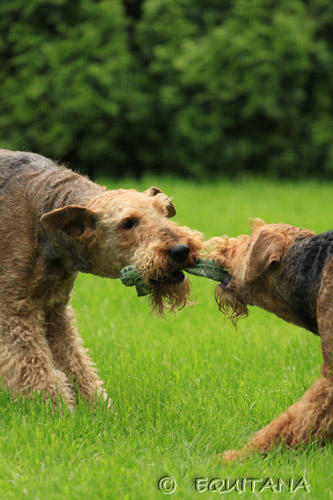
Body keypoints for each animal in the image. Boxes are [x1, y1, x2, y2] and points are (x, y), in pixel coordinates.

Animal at [0, 150, 202, 408]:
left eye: (163, 211)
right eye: (128, 223)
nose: (181, 250)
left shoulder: (55, 310)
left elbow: (75, 362)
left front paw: (97, 408)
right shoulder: (16, 311)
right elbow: (35, 366)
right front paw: (57, 410)